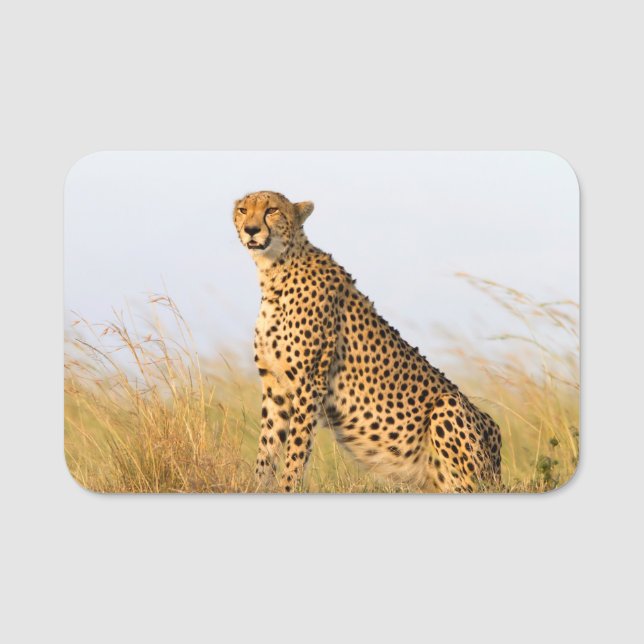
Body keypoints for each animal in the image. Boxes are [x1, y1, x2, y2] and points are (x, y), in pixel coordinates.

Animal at [233, 190, 502, 493]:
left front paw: (287, 488)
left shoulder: (308, 384)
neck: (275, 271)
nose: (251, 229)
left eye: (272, 210)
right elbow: (267, 447)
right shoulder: (275, 386)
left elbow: (296, 449)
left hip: (449, 408)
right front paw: (258, 487)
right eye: (243, 210)